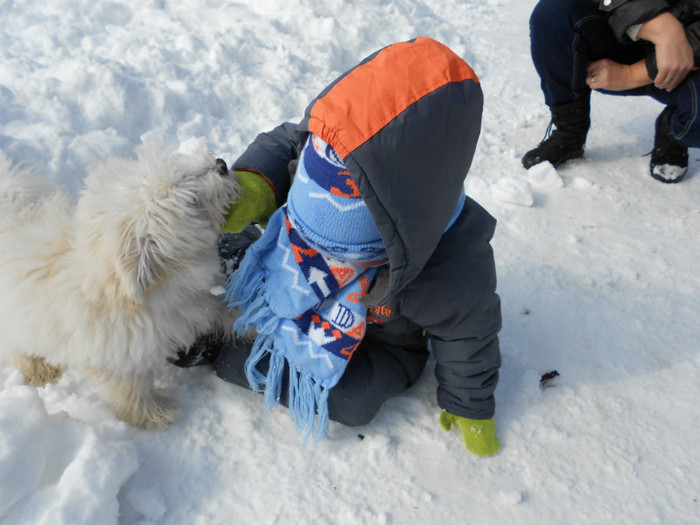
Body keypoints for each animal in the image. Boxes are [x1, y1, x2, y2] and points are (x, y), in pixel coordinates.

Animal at [0, 144, 239, 430]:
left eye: (183, 170)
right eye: (192, 200)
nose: (221, 164)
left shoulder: (193, 303)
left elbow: (225, 309)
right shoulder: (115, 355)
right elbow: (130, 391)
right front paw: (155, 415)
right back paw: (40, 371)